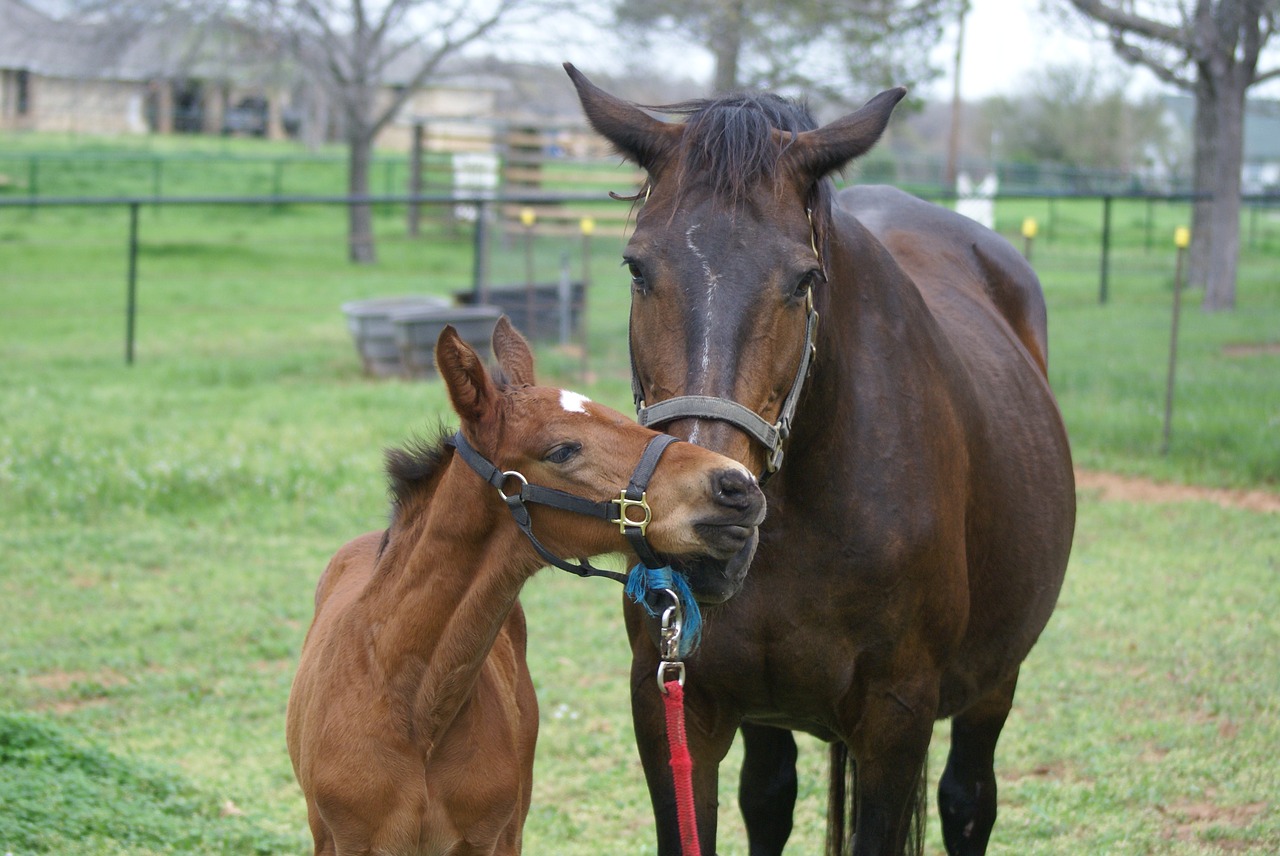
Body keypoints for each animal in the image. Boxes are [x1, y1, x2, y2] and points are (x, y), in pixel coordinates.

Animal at [565, 65, 1075, 854]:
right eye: (637, 268)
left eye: (804, 279)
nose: (702, 525)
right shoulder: (674, 704)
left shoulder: (896, 719)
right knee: (769, 796)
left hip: (994, 682)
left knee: (968, 801)